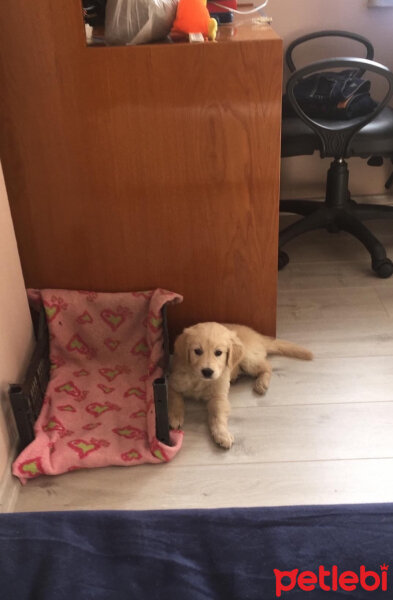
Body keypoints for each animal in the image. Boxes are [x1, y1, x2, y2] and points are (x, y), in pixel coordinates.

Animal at [168, 322, 312, 448]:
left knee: (267, 366)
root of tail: (258, 336)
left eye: (218, 352)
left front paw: (222, 434)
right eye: (197, 351)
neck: (200, 380)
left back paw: (261, 383)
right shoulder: (173, 382)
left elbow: (218, 416)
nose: (207, 371)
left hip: (248, 359)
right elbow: (175, 400)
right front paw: (175, 417)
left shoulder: (219, 397)